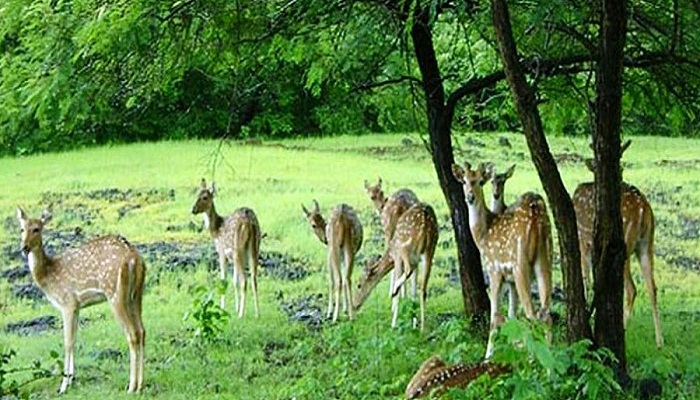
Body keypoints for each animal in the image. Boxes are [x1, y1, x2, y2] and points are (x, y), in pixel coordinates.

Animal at [16, 209, 146, 394]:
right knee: (142, 331)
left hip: (115, 294)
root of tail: (134, 259)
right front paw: (71, 380)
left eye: (36, 229)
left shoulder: (67, 303)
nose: (24, 248)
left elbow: (67, 342)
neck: (48, 276)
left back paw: (131, 386)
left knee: (132, 333)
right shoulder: (77, 306)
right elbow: (75, 340)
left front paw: (63, 386)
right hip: (137, 294)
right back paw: (141, 384)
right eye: (21, 229)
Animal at [191, 180, 262, 318]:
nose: (193, 209)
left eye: (205, 197)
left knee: (245, 280)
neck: (216, 231)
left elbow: (223, 280)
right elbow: (234, 281)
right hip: (255, 248)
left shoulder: (222, 252)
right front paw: (235, 307)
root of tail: (249, 222)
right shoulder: (232, 258)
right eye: (196, 194)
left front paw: (223, 309)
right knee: (254, 279)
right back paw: (257, 314)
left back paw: (241, 314)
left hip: (237, 249)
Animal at [356, 203, 438, 332]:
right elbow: (413, 290)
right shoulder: (416, 262)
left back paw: (394, 290)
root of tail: (426, 222)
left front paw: (394, 324)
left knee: (408, 271)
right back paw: (422, 328)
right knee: (423, 289)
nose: (355, 305)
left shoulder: (398, 257)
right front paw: (413, 322)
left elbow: (400, 283)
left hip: (405, 247)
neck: (390, 254)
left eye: (359, 285)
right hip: (430, 250)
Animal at [454, 162, 552, 360]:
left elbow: (495, 317)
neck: (483, 236)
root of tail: (535, 210)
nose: (470, 196)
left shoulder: (494, 270)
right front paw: (512, 349)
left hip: (520, 263)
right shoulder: (510, 280)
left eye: (480, 181)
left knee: (532, 314)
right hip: (546, 256)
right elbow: (512, 316)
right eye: (464, 181)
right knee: (546, 314)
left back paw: (532, 359)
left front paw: (488, 355)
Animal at [572, 140, 664, 346]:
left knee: (631, 289)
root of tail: (643, 208)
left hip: (623, 244)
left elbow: (586, 278)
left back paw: (623, 329)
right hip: (647, 243)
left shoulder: (582, 239)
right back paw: (659, 341)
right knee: (652, 287)